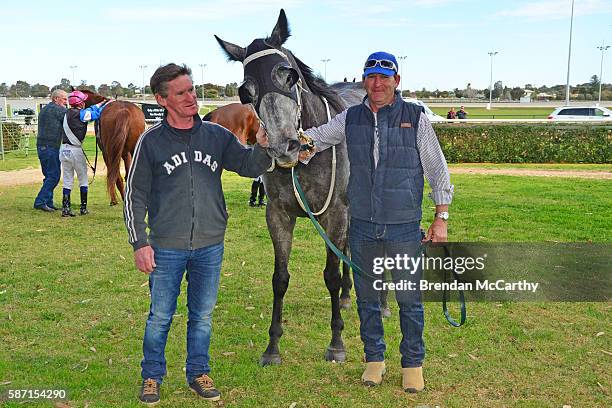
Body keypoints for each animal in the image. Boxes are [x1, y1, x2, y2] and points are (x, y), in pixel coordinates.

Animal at [218, 9, 366, 364]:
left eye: (289, 76)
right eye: (246, 92)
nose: (283, 146)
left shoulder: (335, 213)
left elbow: (330, 274)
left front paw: (336, 342)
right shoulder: (278, 214)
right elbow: (280, 278)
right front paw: (272, 345)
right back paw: (347, 295)